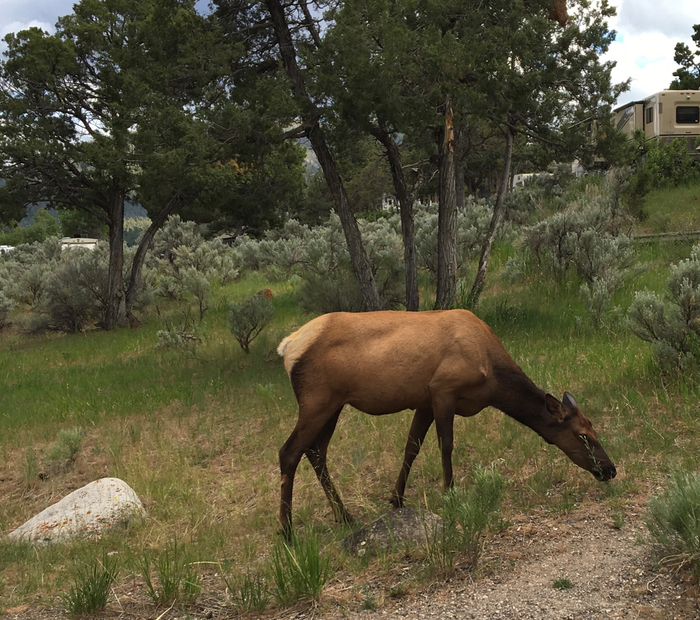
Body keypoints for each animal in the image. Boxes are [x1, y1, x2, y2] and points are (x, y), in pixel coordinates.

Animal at [276, 310, 616, 536]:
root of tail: (288, 345)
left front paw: (396, 499)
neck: (493, 378)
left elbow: (411, 447)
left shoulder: (424, 401)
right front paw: (450, 494)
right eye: (583, 435)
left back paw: (343, 516)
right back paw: (287, 529)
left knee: (316, 451)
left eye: (595, 429)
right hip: (317, 399)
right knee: (289, 452)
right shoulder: (443, 389)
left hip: (334, 403)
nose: (610, 469)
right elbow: (446, 445)